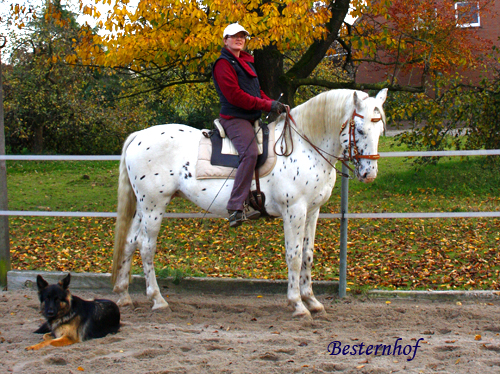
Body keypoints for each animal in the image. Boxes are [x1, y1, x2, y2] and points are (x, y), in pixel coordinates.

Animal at [112, 89, 386, 318]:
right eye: (360, 130)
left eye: (380, 131)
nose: (369, 174)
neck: (304, 146)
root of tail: (139, 136)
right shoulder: (294, 211)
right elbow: (294, 256)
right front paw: (297, 304)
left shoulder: (312, 211)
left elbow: (308, 255)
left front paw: (312, 301)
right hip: (153, 206)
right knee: (146, 246)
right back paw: (157, 299)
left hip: (142, 207)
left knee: (130, 242)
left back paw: (124, 295)